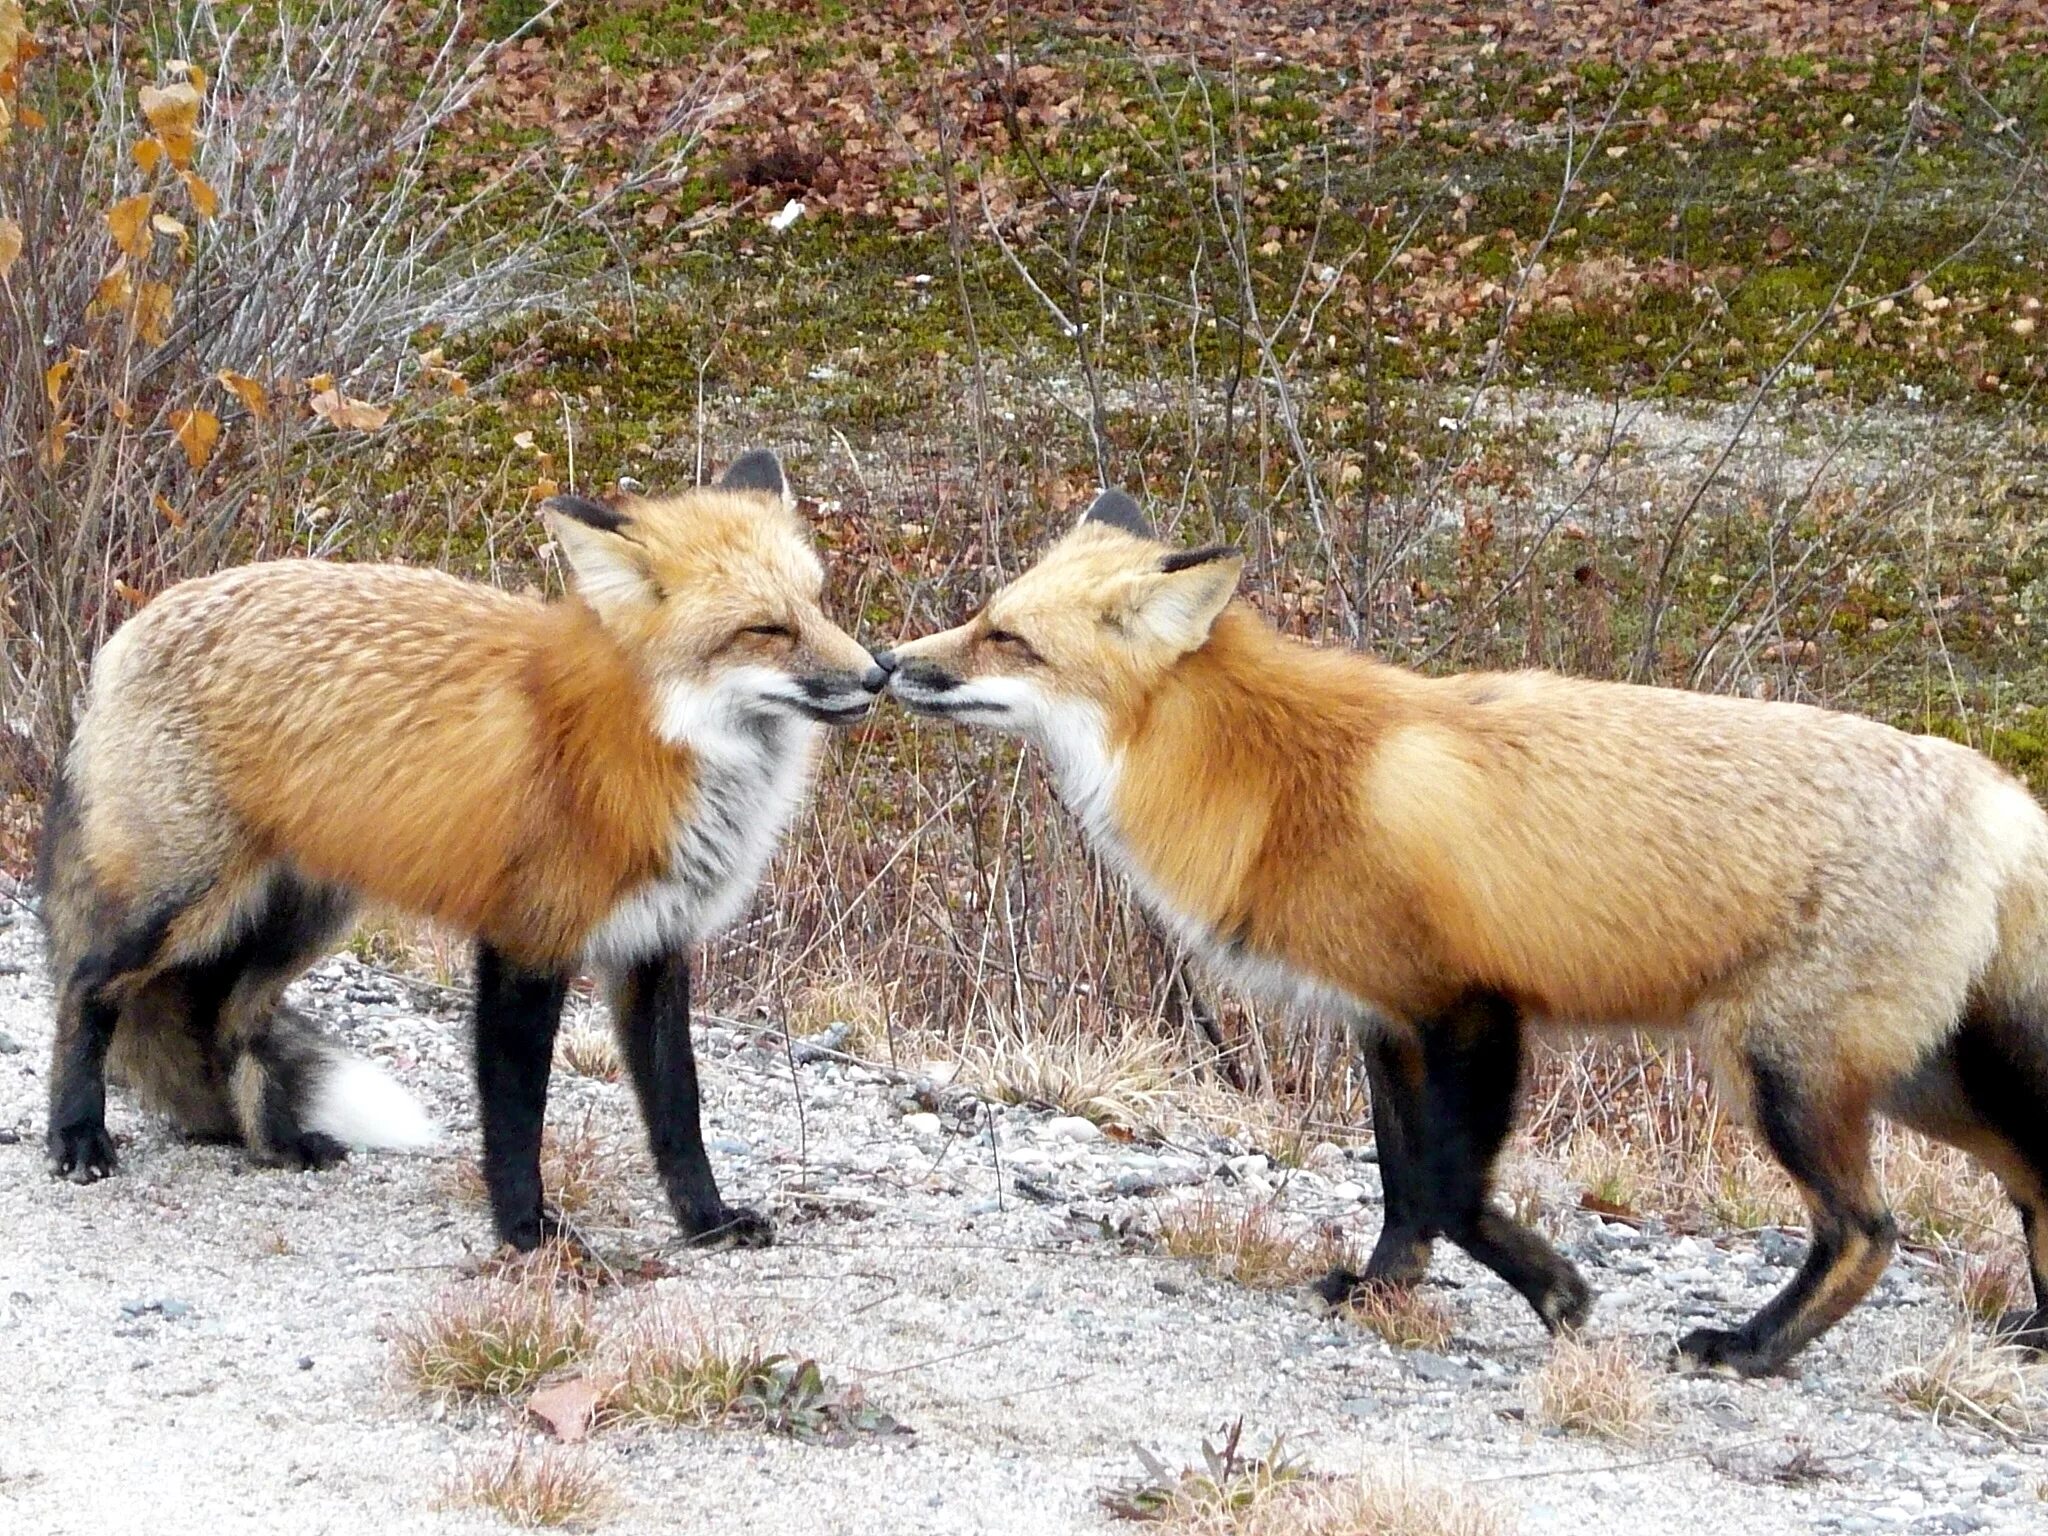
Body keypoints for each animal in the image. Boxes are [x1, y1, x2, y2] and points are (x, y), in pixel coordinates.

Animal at [32, 450, 880, 1253]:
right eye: (765, 630)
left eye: (817, 603)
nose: (880, 673)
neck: (646, 744)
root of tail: (132, 627)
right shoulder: (527, 940)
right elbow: (515, 1114)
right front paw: (527, 1231)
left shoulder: (655, 945)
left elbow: (678, 1112)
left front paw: (706, 1222)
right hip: (187, 903)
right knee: (86, 985)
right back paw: (77, 1135)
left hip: (302, 920)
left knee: (229, 1022)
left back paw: (275, 1145)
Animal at [888, 493, 2048, 1384]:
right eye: (981, 615)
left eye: (1008, 639)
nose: (893, 661)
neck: (1274, 778)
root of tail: (2001, 794)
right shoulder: (1382, 1018)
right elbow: (1403, 1185)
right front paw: (1375, 1294)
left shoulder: (1468, 1010)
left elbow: (1449, 1189)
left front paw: (1558, 1293)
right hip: (1910, 1080)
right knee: (2033, 1178)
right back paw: (2034, 1333)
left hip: (1782, 1075)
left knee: (1868, 1232)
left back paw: (1750, 1348)